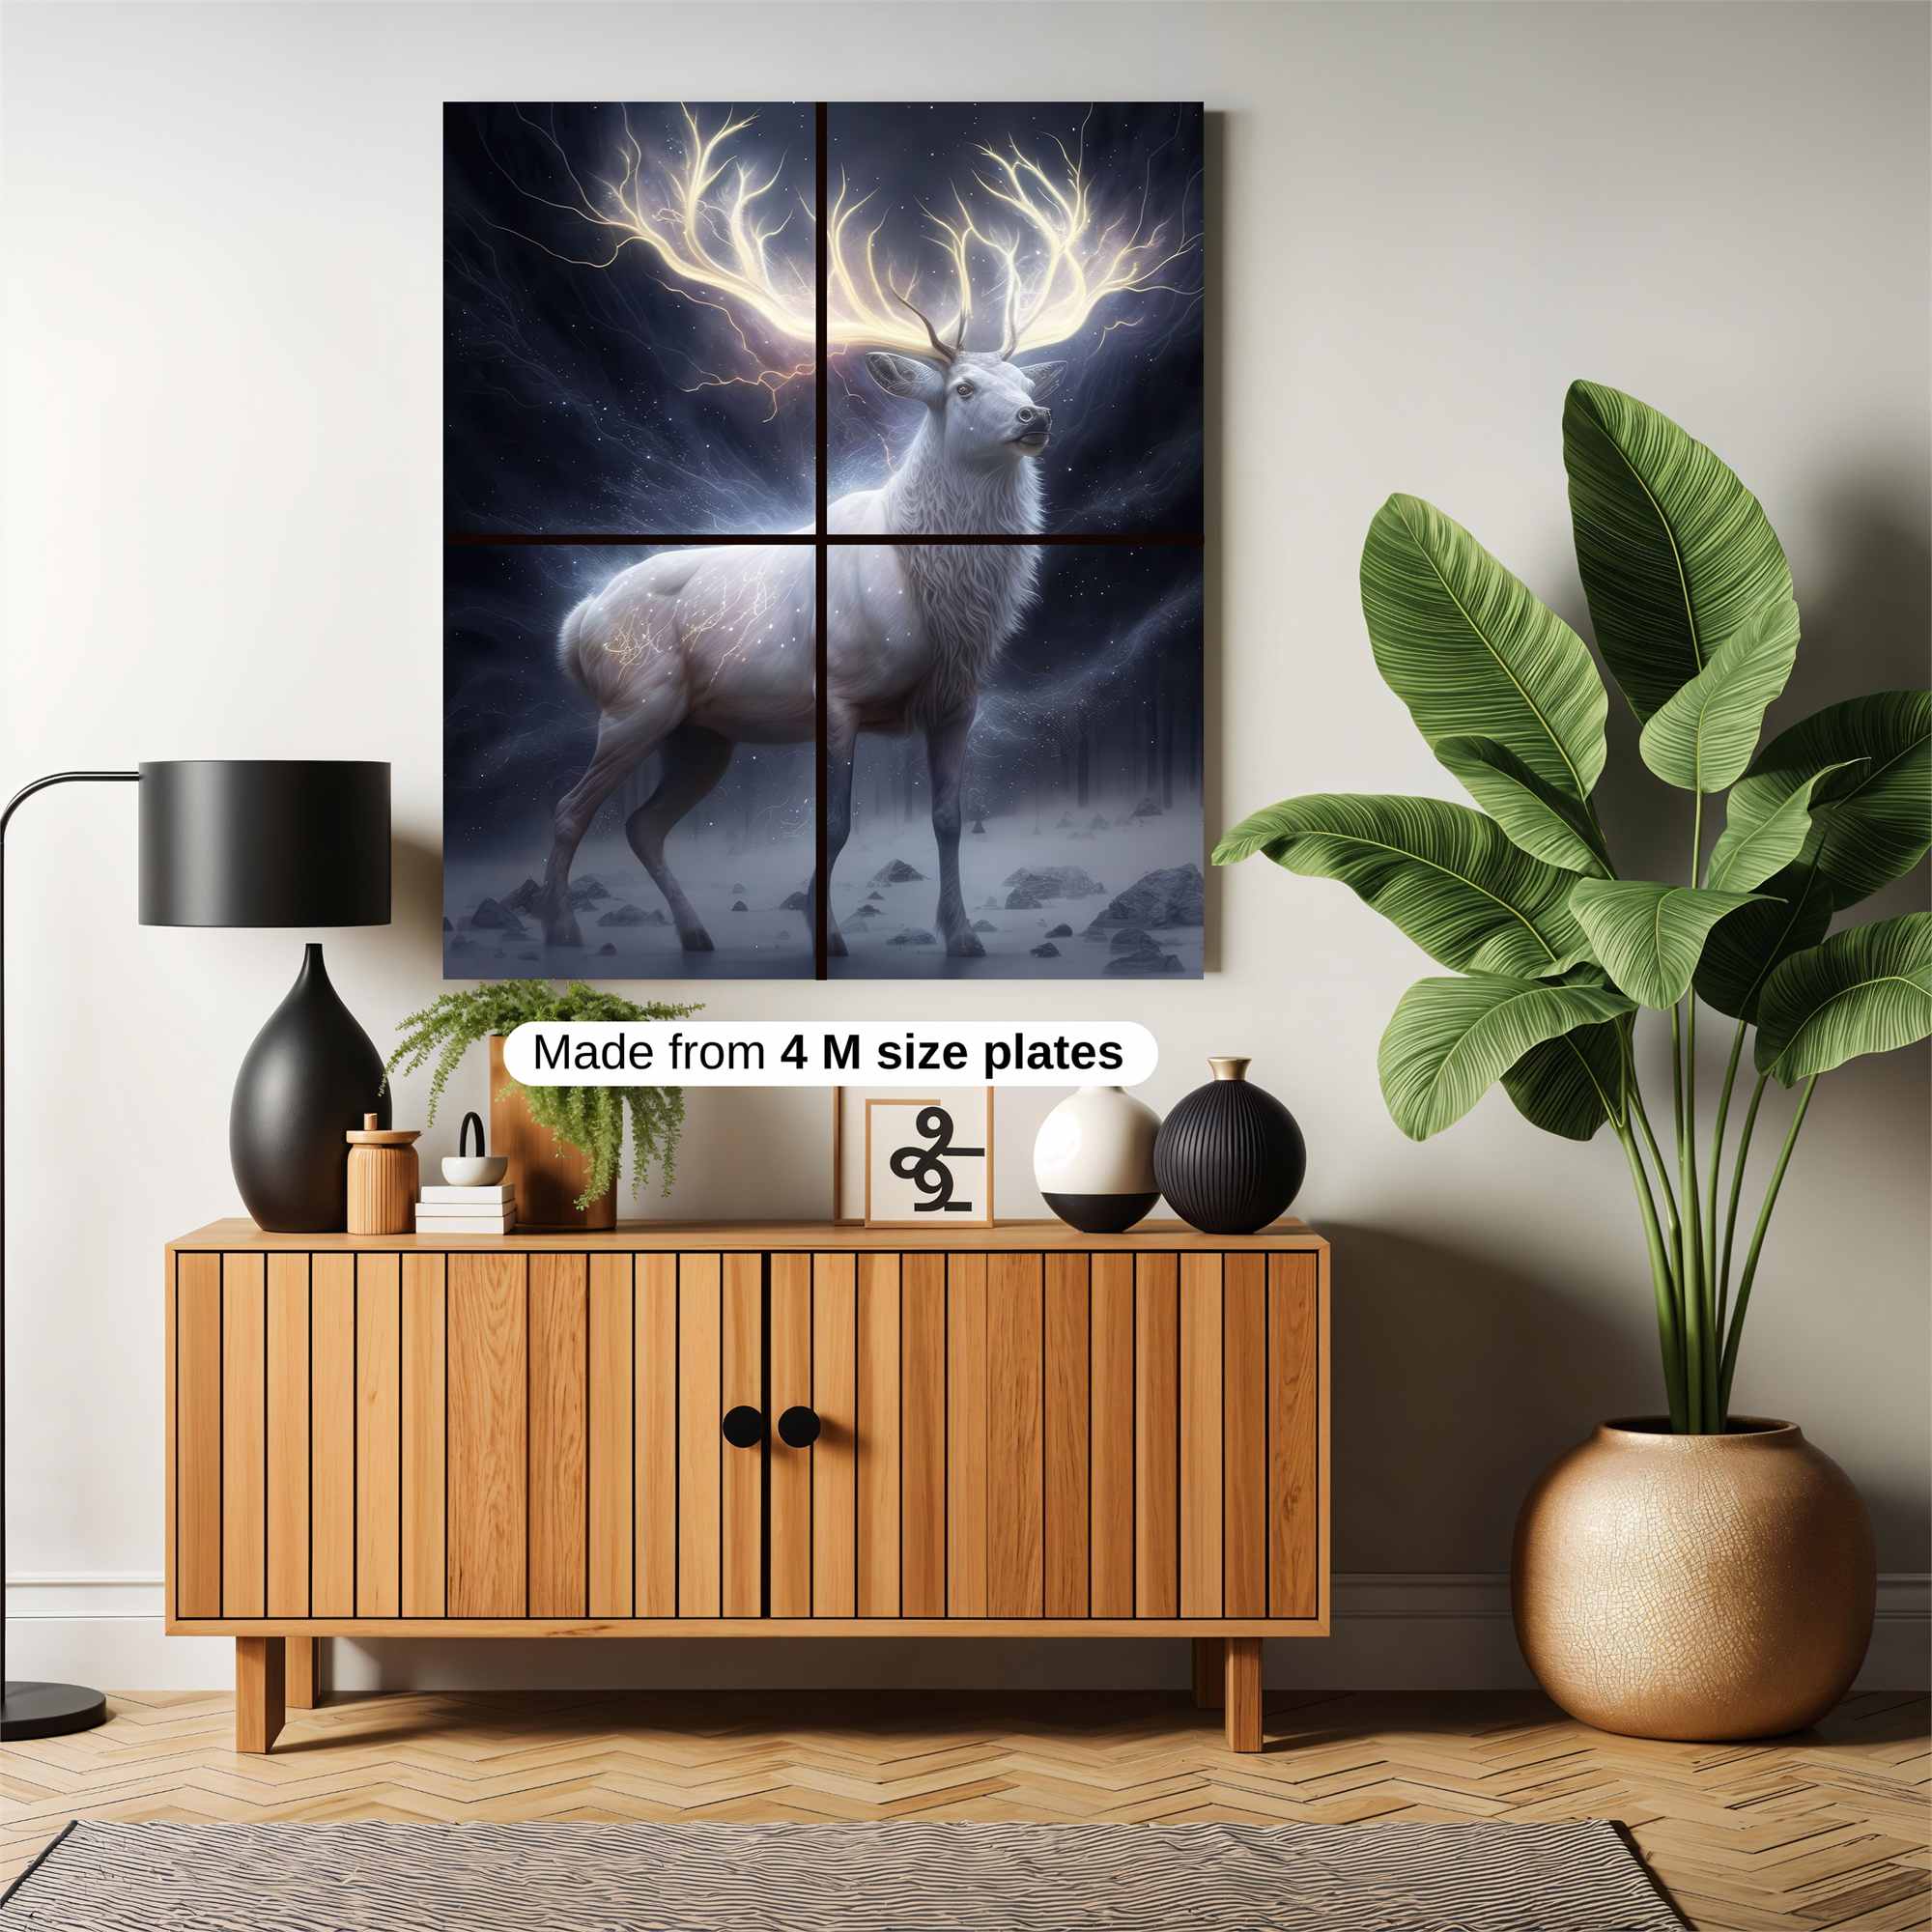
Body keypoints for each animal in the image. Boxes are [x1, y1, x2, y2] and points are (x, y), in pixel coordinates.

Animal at [534, 289, 1066, 961]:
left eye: (1027, 382)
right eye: (964, 388)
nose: (1034, 415)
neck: (940, 595)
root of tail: (577, 625)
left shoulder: (956, 703)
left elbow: (949, 821)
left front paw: (963, 936)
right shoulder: (838, 694)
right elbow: (835, 825)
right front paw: (828, 933)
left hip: (701, 737)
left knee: (642, 825)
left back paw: (695, 933)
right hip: (634, 708)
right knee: (570, 809)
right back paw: (562, 929)